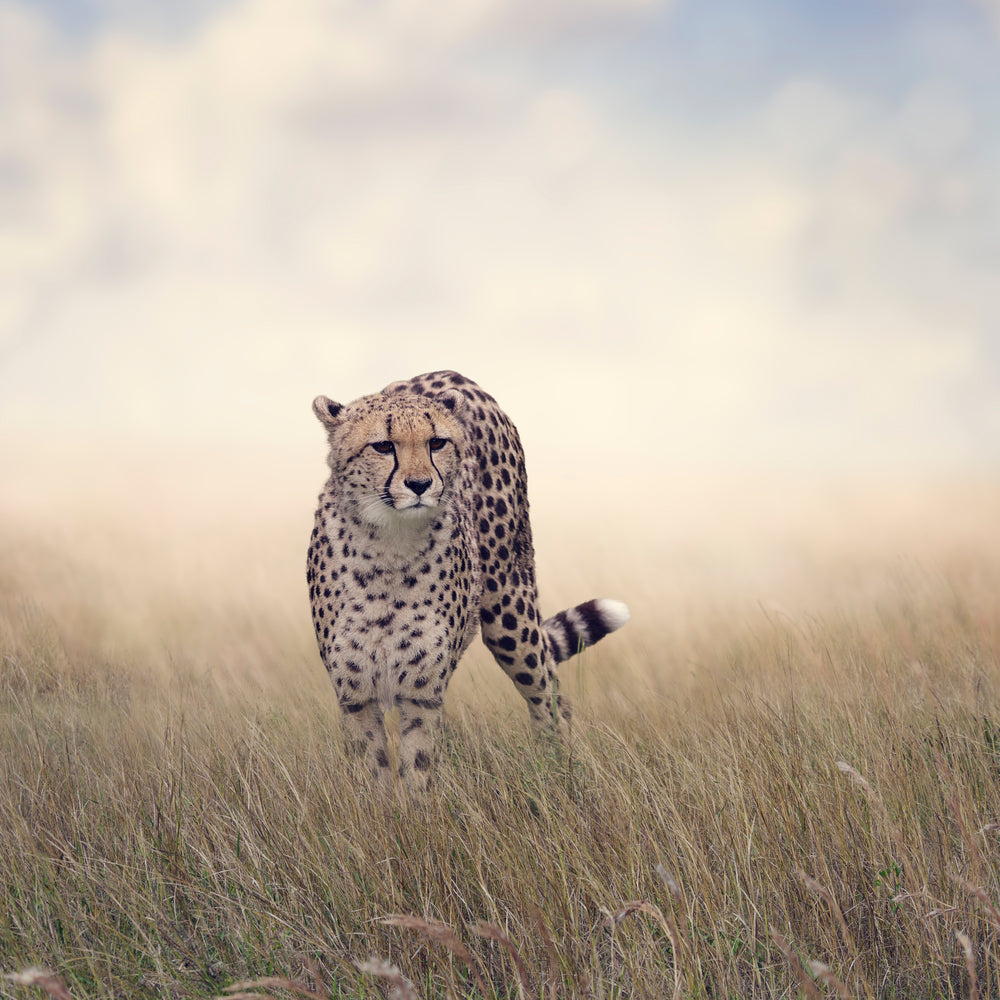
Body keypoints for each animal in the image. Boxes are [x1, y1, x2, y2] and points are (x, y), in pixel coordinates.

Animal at [306, 370, 630, 790]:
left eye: (436, 442)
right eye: (383, 446)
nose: (419, 484)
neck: (389, 545)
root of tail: (453, 375)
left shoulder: (422, 694)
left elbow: (417, 774)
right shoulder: (355, 697)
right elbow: (374, 778)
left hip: (510, 616)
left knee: (549, 695)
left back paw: (557, 772)